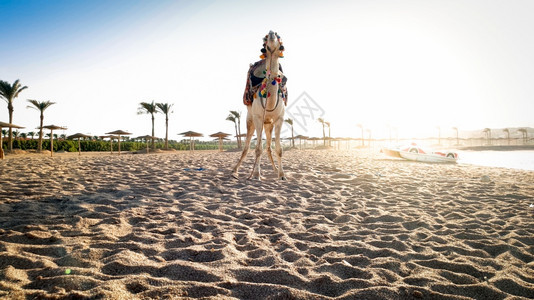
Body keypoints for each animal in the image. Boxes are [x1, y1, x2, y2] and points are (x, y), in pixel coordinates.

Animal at [232, 30, 286, 180]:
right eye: (264, 44)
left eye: (279, 40)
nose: (272, 32)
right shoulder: (258, 118)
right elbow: (257, 149)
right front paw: (256, 174)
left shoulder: (279, 119)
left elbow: (278, 149)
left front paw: (281, 175)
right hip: (250, 120)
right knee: (246, 147)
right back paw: (234, 170)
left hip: (268, 125)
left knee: (268, 147)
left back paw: (274, 170)